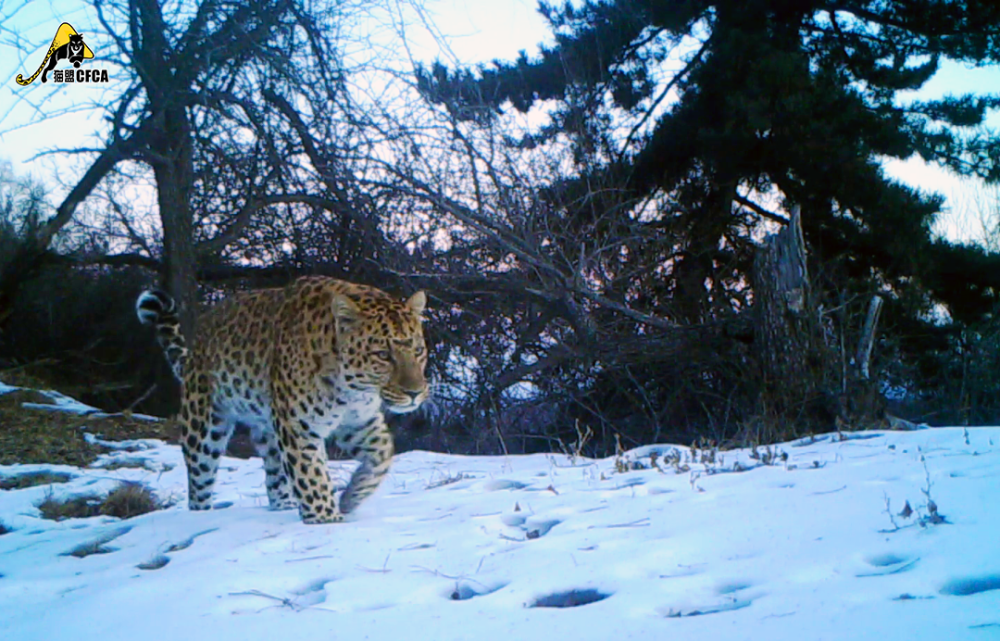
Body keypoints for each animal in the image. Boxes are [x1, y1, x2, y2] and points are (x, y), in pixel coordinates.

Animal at [135, 274, 428, 520]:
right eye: (383, 355)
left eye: (418, 350)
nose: (415, 393)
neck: (351, 389)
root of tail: (198, 339)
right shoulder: (299, 428)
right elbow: (313, 479)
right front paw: (326, 520)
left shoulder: (358, 422)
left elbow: (383, 453)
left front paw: (350, 497)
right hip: (204, 427)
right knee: (199, 482)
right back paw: (200, 517)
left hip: (269, 430)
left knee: (274, 477)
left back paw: (283, 506)